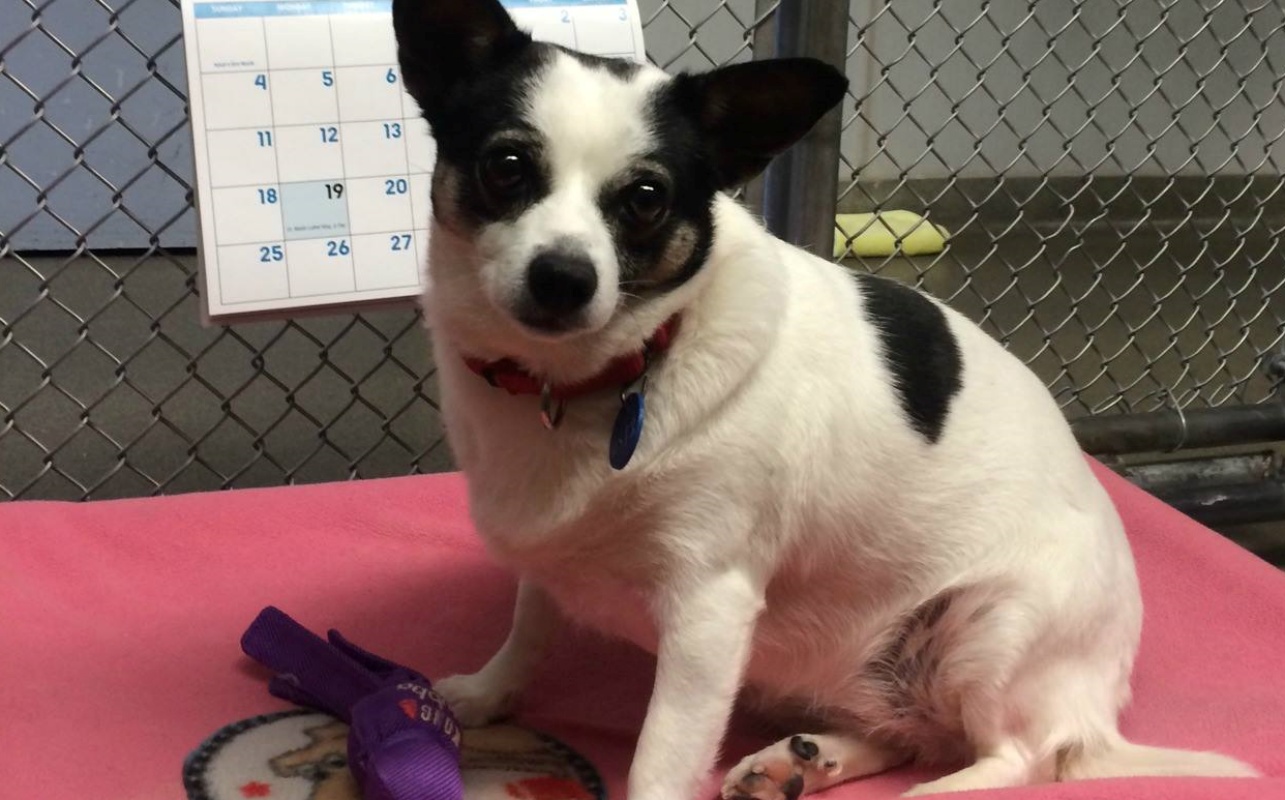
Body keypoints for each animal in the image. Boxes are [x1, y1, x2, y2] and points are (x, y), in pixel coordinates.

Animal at [388, 3, 1254, 796]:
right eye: (506, 165)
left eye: (644, 198)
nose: (563, 277)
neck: (586, 379)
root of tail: (1097, 715)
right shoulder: (552, 559)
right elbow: (529, 628)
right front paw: (488, 692)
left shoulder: (708, 615)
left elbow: (659, 760)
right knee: (912, 736)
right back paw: (804, 760)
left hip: (990, 626)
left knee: (1011, 759)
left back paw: (923, 791)